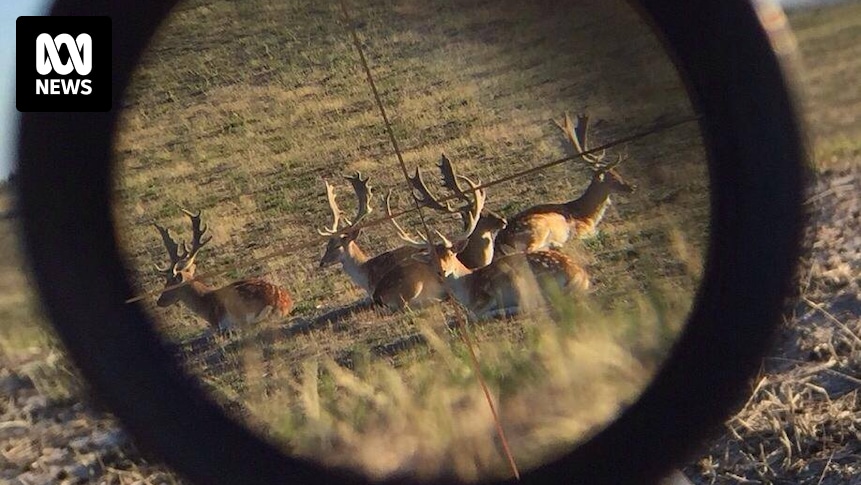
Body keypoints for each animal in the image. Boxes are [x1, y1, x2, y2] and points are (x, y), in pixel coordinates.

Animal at [154, 209, 294, 332]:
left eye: (169, 283)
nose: (159, 301)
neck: (206, 303)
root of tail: (282, 304)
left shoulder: (217, 321)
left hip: (237, 305)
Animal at [394, 176, 590, 320]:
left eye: (450, 253)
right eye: (431, 259)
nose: (441, 271)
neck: (468, 289)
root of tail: (580, 274)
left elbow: (476, 315)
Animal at [494, 113, 635, 257]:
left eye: (617, 172)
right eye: (611, 177)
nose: (631, 187)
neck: (587, 215)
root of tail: (501, 242)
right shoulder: (581, 229)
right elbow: (595, 233)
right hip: (539, 229)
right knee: (530, 250)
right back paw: (556, 245)